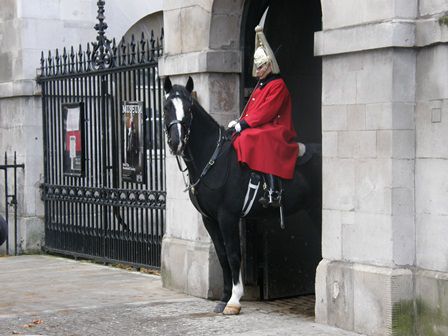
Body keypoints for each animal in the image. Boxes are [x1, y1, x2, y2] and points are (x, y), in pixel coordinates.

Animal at [163, 76, 320, 316]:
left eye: (189, 109)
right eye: (166, 107)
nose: (176, 142)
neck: (212, 159)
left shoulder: (227, 217)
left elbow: (233, 254)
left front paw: (234, 300)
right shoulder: (210, 220)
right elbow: (222, 256)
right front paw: (224, 297)